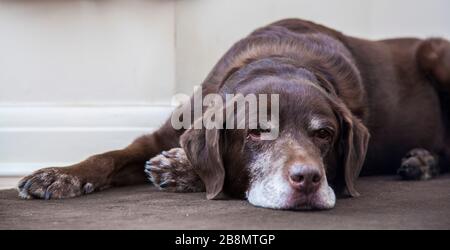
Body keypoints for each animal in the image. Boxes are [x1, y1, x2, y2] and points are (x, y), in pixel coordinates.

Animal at [17, 19, 450, 209]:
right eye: (256, 132)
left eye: (324, 135)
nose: (308, 179)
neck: (282, 60)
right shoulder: (161, 134)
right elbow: (107, 156)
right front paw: (59, 175)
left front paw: (177, 170)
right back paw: (420, 161)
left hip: (439, 55)